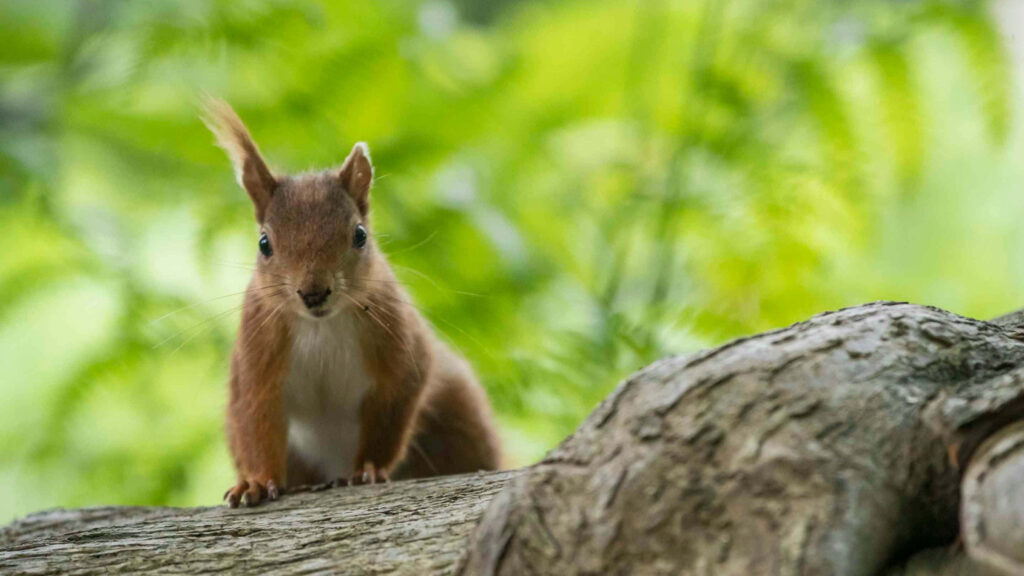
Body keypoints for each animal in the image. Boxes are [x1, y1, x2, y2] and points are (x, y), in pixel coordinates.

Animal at [202, 99, 502, 507]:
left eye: (360, 235)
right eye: (264, 244)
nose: (313, 292)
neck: (321, 325)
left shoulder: (400, 350)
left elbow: (390, 414)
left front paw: (368, 470)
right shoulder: (256, 353)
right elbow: (256, 418)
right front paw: (257, 482)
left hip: (461, 413)